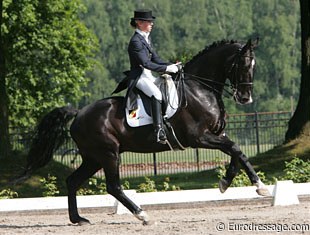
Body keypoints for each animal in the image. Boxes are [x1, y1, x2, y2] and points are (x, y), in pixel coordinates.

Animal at [19, 38, 270, 226]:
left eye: (255, 66)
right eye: (243, 65)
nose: (245, 98)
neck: (200, 89)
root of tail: (79, 113)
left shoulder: (217, 135)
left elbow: (237, 152)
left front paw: (234, 183)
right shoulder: (199, 138)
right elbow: (235, 149)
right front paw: (252, 185)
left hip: (93, 158)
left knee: (72, 181)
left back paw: (78, 219)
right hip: (108, 154)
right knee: (113, 186)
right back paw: (142, 215)